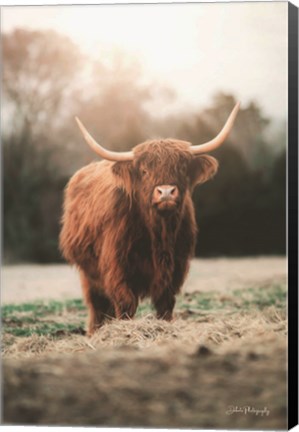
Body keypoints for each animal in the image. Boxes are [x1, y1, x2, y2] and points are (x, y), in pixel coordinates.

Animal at [59, 103, 240, 336]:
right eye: (144, 171)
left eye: (182, 168)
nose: (166, 192)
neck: (159, 233)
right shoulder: (116, 268)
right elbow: (125, 303)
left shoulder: (175, 268)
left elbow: (165, 303)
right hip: (88, 272)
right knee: (97, 305)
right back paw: (95, 332)